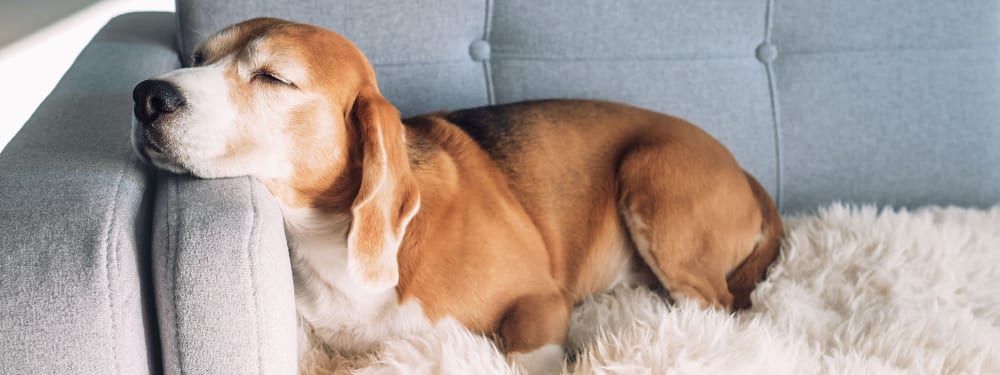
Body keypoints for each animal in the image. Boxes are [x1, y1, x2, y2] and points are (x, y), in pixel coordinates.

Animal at [131, 16, 780, 374]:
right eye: (197, 59)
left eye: (272, 77)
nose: (146, 96)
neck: (328, 238)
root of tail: (744, 172)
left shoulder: (540, 300)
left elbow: (524, 355)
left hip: (651, 176)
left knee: (717, 305)